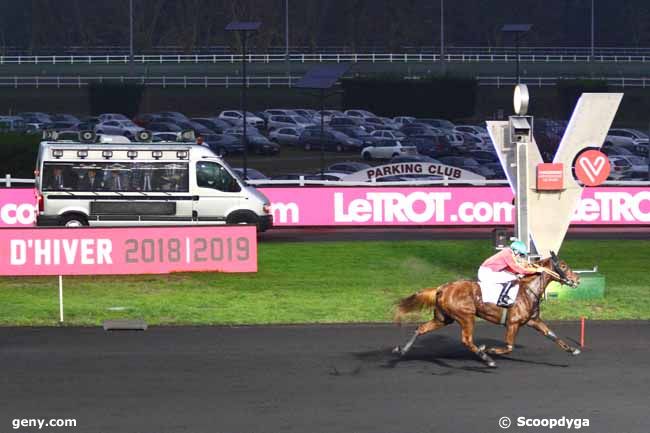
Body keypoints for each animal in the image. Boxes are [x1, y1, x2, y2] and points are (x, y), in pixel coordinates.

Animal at [392, 251, 580, 366]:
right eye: (563, 266)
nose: (577, 279)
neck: (528, 289)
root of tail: (441, 288)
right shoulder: (513, 323)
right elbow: (509, 346)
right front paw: (489, 349)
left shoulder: (533, 320)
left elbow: (552, 335)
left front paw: (573, 349)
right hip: (466, 316)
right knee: (467, 340)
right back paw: (487, 358)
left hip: (443, 318)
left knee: (421, 329)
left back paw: (402, 350)